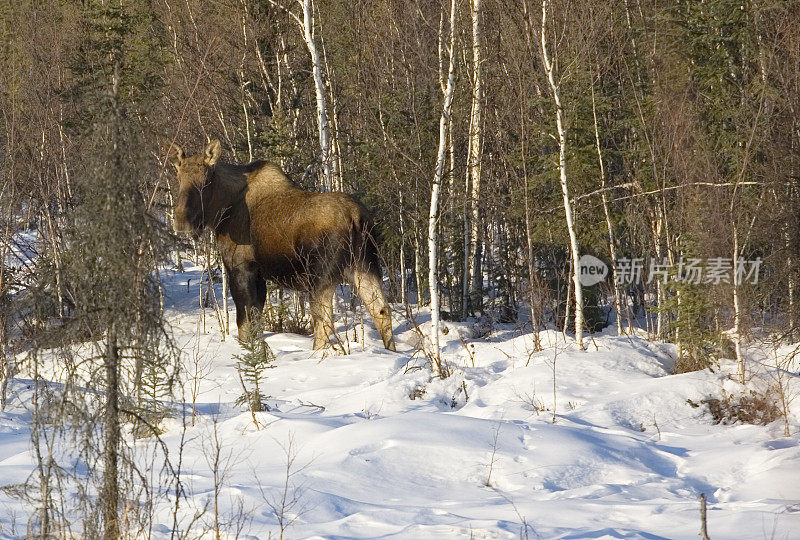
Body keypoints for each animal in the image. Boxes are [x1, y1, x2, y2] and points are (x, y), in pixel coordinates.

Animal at [170, 139, 396, 352]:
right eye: (179, 177)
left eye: (206, 181)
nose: (182, 222)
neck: (221, 213)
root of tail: (357, 218)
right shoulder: (259, 274)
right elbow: (256, 321)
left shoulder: (240, 267)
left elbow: (245, 322)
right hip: (366, 265)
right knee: (381, 310)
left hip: (322, 275)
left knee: (324, 320)